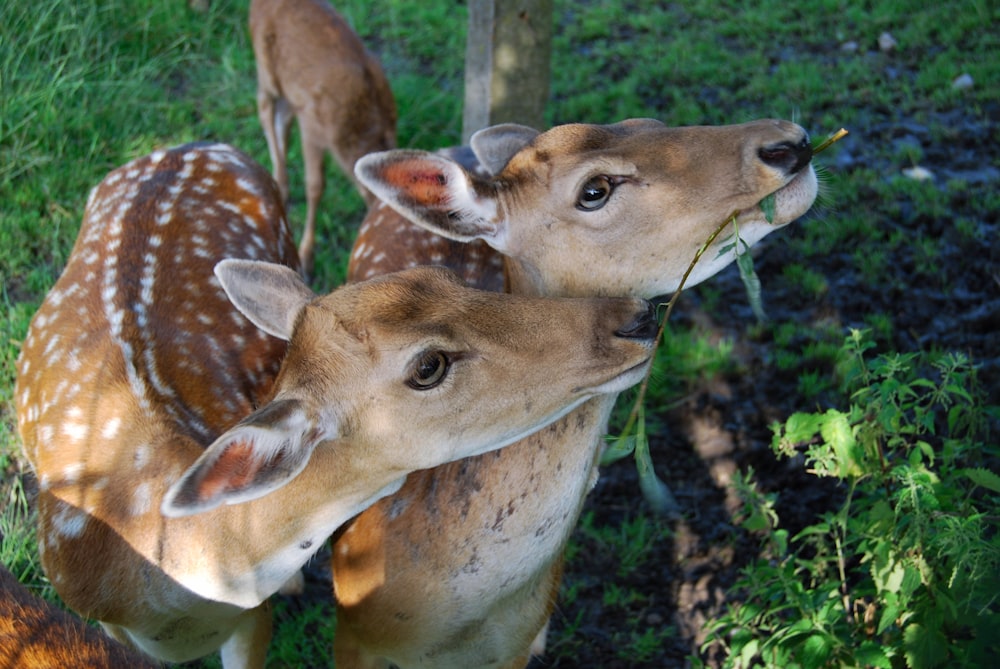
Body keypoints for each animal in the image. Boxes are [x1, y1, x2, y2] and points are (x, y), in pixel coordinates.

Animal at [250, 0, 398, 276]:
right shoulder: (313, 127)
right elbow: (315, 186)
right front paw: (307, 257)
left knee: (281, 117)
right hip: (265, 66)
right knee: (264, 107)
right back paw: (281, 184)